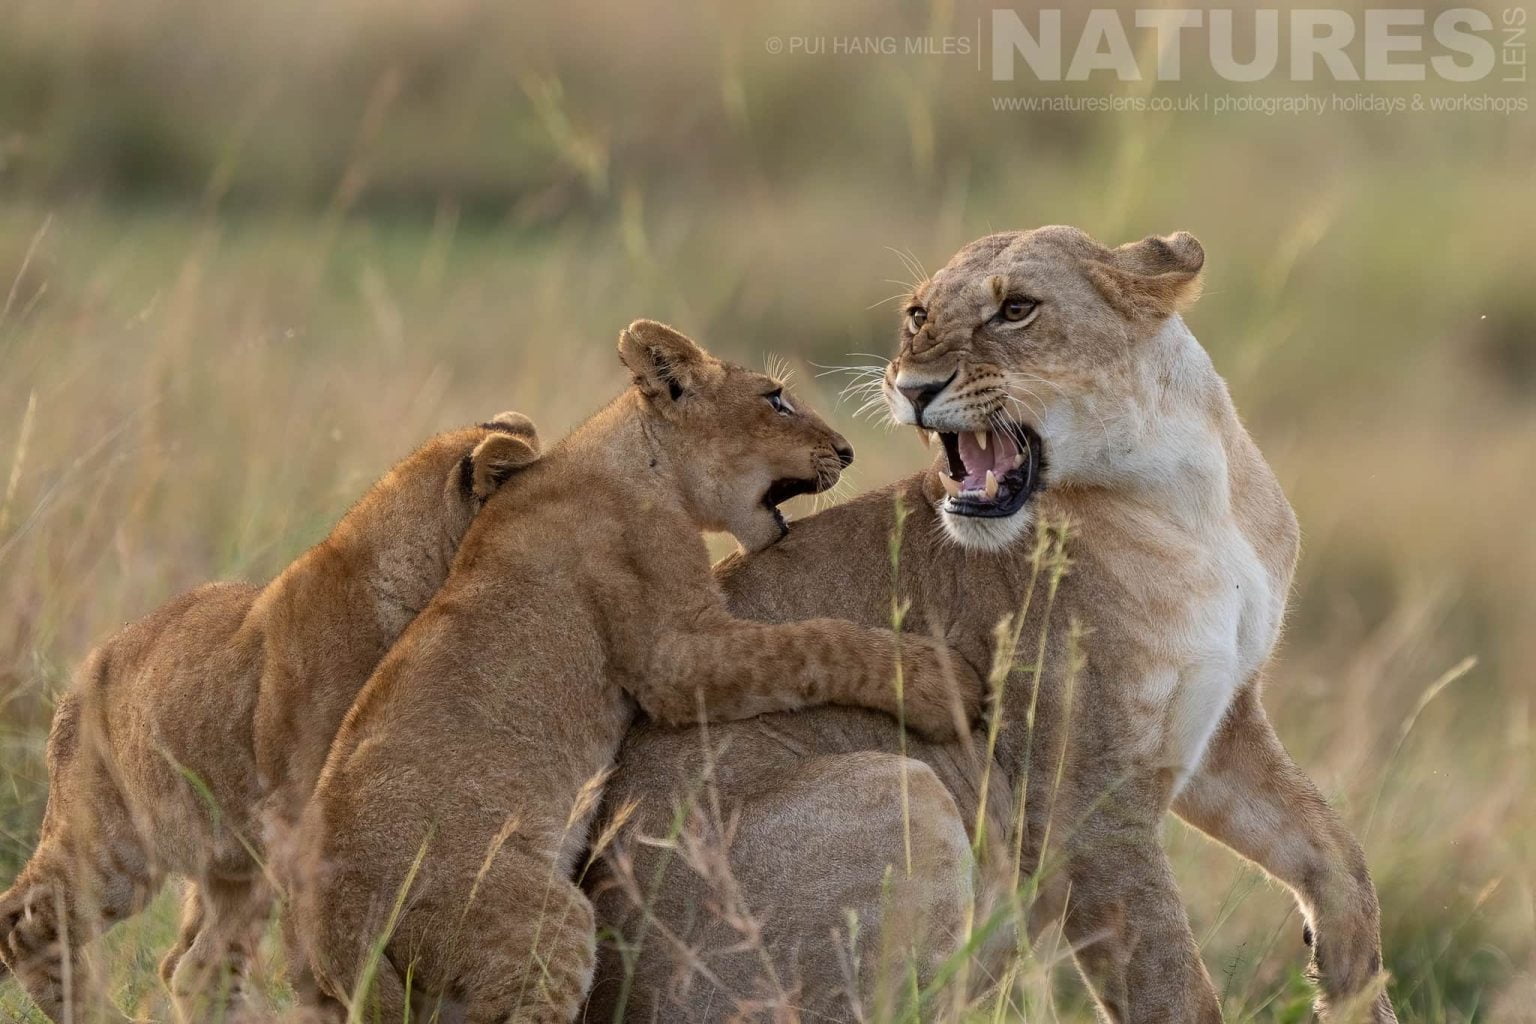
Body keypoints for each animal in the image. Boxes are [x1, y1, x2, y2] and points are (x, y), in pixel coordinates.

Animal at [0, 412, 541, 1023]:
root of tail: (80, 678)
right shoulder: (308, 818)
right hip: (114, 848)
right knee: (24, 925)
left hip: (231, 862)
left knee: (191, 966)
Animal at [284, 320, 982, 1024]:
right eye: (776, 399)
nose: (846, 450)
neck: (632, 460)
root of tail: (332, 928)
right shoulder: (676, 656)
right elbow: (815, 645)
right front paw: (941, 684)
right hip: (543, 922)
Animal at [587, 229, 1396, 1023]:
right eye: (917, 316)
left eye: (1016, 311)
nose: (912, 388)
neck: (1182, 496)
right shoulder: (1080, 802)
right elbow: (1171, 985)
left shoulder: (1219, 721)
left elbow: (1334, 849)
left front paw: (1349, 984)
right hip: (899, 787)